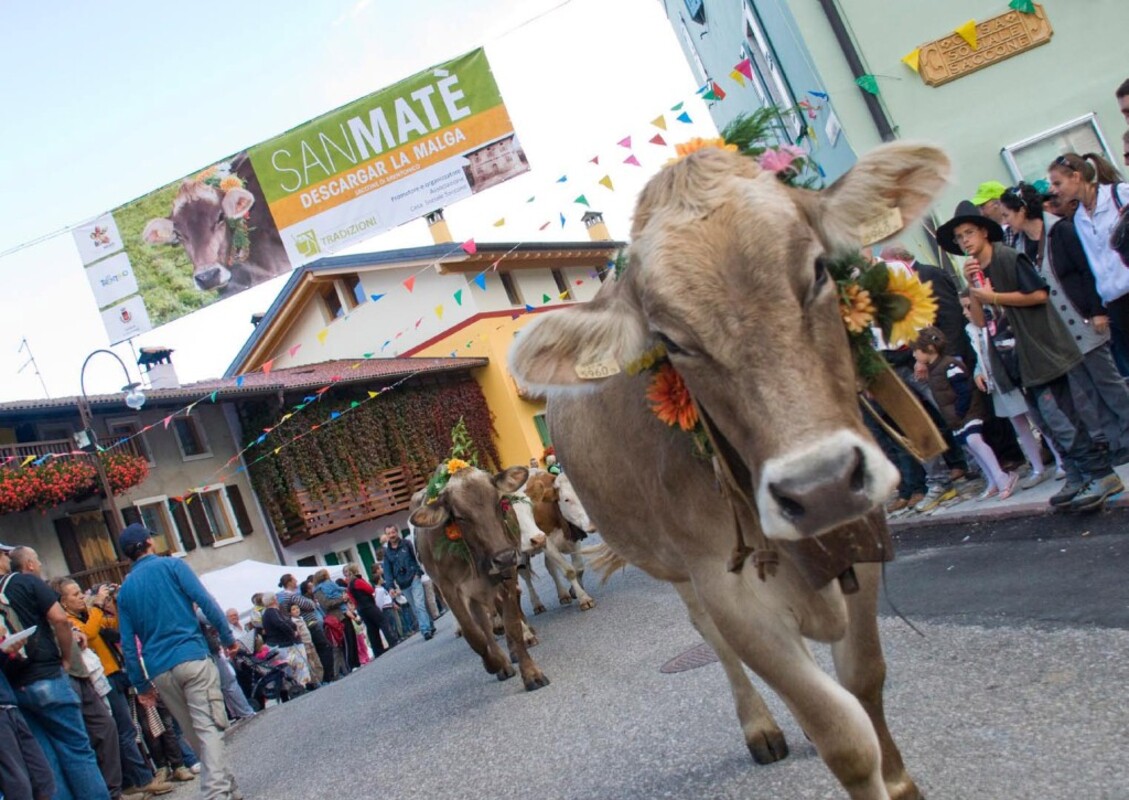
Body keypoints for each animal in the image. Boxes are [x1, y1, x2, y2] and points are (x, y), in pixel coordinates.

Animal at [410, 465, 550, 691]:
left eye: (499, 503)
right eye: (460, 517)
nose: (504, 556)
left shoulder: (507, 575)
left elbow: (512, 625)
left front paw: (531, 673)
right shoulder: (449, 589)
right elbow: (474, 635)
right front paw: (495, 663)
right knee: (483, 627)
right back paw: (502, 663)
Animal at [509, 142, 950, 799]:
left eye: (819, 271)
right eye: (671, 341)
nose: (820, 487)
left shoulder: (861, 536)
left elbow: (865, 681)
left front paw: (898, 781)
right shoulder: (729, 585)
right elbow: (842, 737)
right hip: (679, 572)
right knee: (711, 640)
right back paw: (762, 727)